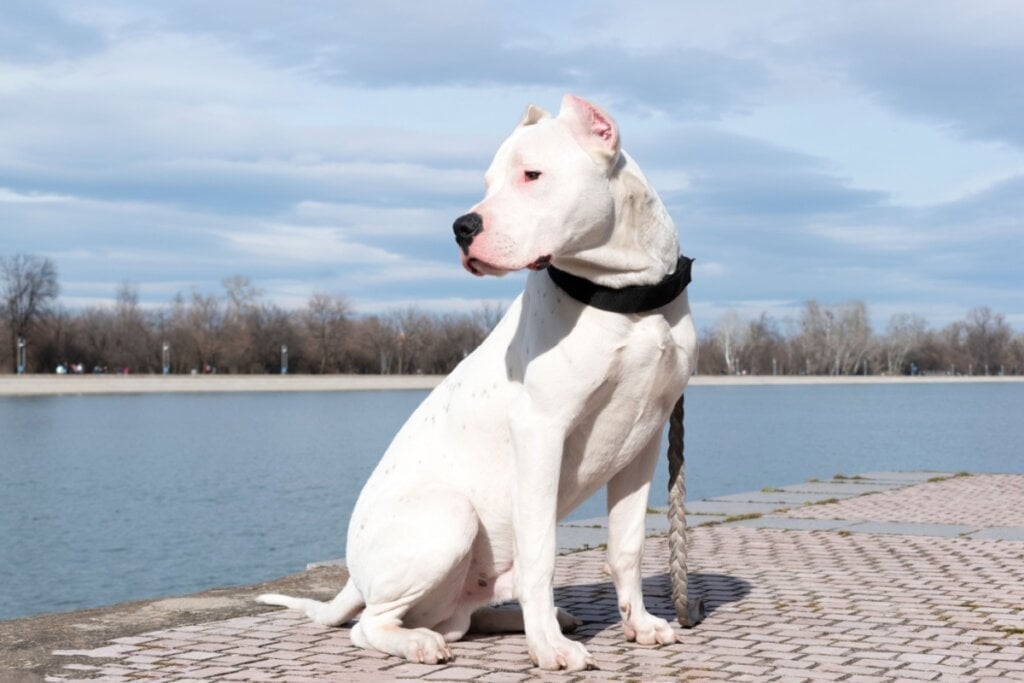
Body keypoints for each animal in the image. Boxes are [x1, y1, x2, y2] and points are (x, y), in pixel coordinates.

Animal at [260, 93, 700, 671]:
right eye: (488, 181)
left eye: (531, 174)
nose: (462, 226)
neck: (625, 297)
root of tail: (354, 577)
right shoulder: (540, 431)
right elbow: (542, 554)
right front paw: (549, 650)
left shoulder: (645, 439)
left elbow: (626, 544)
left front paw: (641, 624)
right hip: (450, 517)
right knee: (370, 624)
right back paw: (427, 642)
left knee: (460, 619)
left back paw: (525, 620)